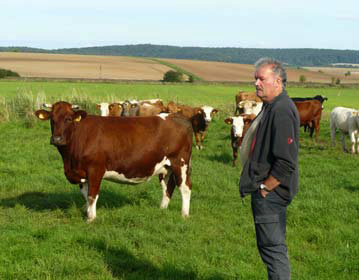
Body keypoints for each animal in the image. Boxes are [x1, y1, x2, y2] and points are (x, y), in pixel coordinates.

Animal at [34, 101, 194, 222]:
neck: (69, 159)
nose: (56, 139)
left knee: (185, 187)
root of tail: (175, 115)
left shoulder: (95, 169)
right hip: (165, 167)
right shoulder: (81, 172)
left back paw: (184, 215)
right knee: (168, 186)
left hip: (180, 163)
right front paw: (87, 212)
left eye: (68, 119)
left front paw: (91, 219)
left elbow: (92, 195)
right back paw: (162, 209)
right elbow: (85, 195)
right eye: (52, 119)